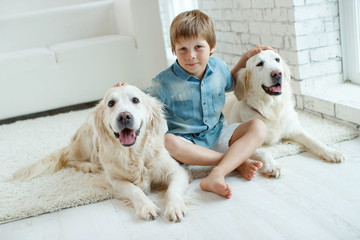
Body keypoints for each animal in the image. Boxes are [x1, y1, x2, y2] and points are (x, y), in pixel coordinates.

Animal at [12, 85, 190, 222]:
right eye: (111, 103)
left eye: (135, 100)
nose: (124, 116)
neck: (133, 153)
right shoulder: (114, 180)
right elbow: (134, 190)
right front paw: (146, 207)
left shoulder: (177, 171)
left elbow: (172, 191)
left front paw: (175, 207)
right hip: (87, 140)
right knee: (67, 157)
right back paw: (88, 166)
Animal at [224, 50, 344, 178]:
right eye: (259, 64)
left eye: (277, 59)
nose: (277, 73)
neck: (271, 108)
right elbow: (263, 152)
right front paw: (273, 166)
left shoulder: (295, 130)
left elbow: (314, 140)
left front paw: (331, 152)